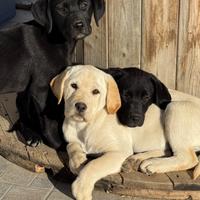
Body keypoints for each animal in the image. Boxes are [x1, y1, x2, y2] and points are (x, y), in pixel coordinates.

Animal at [0, 0, 105, 147]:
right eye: (60, 8)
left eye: (84, 5)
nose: (79, 25)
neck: (54, 37)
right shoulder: (41, 88)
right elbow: (48, 117)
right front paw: (58, 142)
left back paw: (31, 134)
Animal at [50, 65, 200, 199]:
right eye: (73, 86)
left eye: (96, 91)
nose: (80, 106)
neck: (85, 125)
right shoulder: (71, 138)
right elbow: (71, 145)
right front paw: (78, 160)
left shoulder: (119, 151)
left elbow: (94, 165)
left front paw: (81, 189)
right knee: (169, 150)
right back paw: (136, 159)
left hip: (175, 108)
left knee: (188, 158)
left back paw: (152, 164)